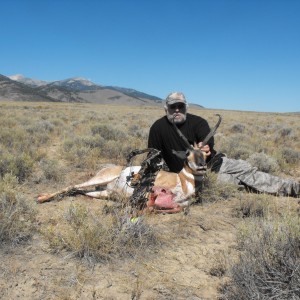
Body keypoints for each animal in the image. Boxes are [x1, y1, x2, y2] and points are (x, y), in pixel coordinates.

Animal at [37, 113, 220, 212]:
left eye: (204, 153)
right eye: (188, 153)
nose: (201, 166)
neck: (183, 181)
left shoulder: (180, 204)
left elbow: (177, 207)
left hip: (104, 193)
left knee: (79, 191)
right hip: (99, 180)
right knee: (73, 185)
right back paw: (41, 198)